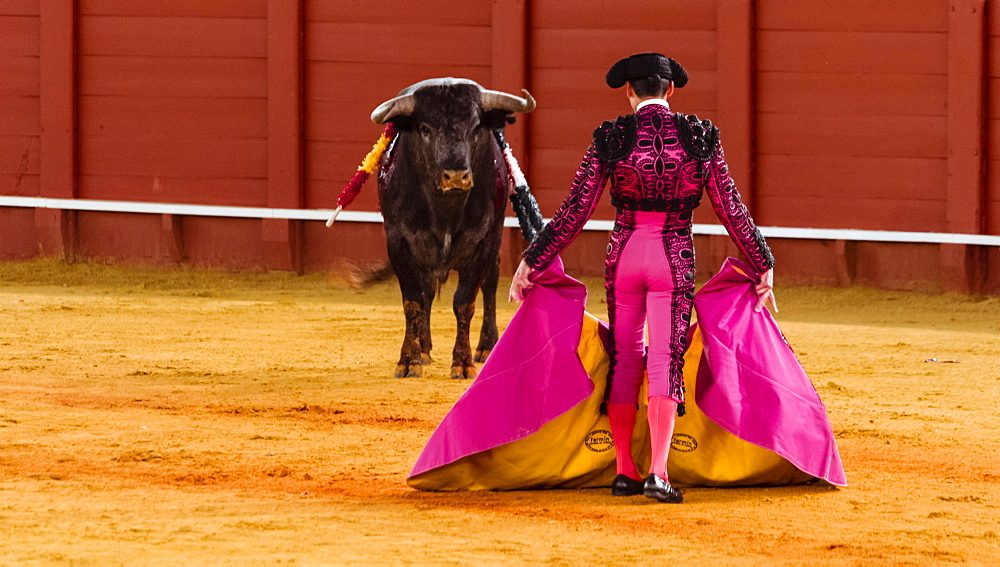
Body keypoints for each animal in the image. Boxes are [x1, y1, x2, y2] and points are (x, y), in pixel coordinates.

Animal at [370, 77, 540, 380]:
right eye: (425, 128)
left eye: (475, 127)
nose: (456, 176)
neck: (444, 209)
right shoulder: (397, 241)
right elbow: (413, 301)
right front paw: (409, 360)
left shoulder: (484, 241)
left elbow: (465, 302)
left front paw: (462, 362)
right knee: (426, 290)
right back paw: (424, 349)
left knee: (490, 283)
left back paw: (486, 346)